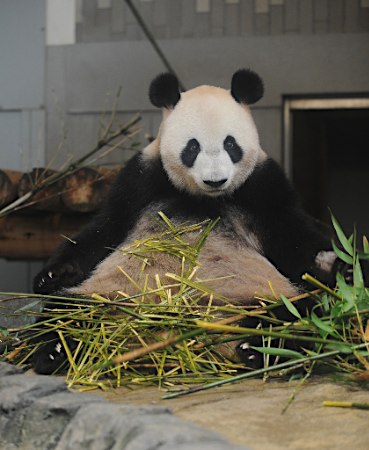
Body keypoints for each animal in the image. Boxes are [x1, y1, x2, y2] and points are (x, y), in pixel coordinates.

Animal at [31, 69, 340, 372]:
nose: (215, 180)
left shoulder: (262, 186)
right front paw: (51, 275)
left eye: (231, 144)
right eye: (192, 147)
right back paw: (54, 350)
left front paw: (335, 265)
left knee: (297, 314)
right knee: (66, 312)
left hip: (257, 295)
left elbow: (291, 237)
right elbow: (105, 229)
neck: (203, 199)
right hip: (111, 294)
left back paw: (257, 348)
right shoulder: (140, 181)